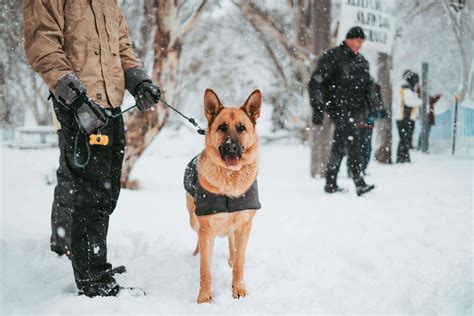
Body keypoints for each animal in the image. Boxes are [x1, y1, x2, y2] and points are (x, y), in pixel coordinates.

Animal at [184, 87, 262, 302]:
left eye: (241, 128)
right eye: (222, 127)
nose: (232, 147)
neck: (230, 178)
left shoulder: (245, 226)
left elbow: (240, 263)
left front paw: (238, 289)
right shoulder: (206, 230)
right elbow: (205, 270)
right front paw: (204, 299)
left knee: (231, 242)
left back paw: (231, 259)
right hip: (193, 220)